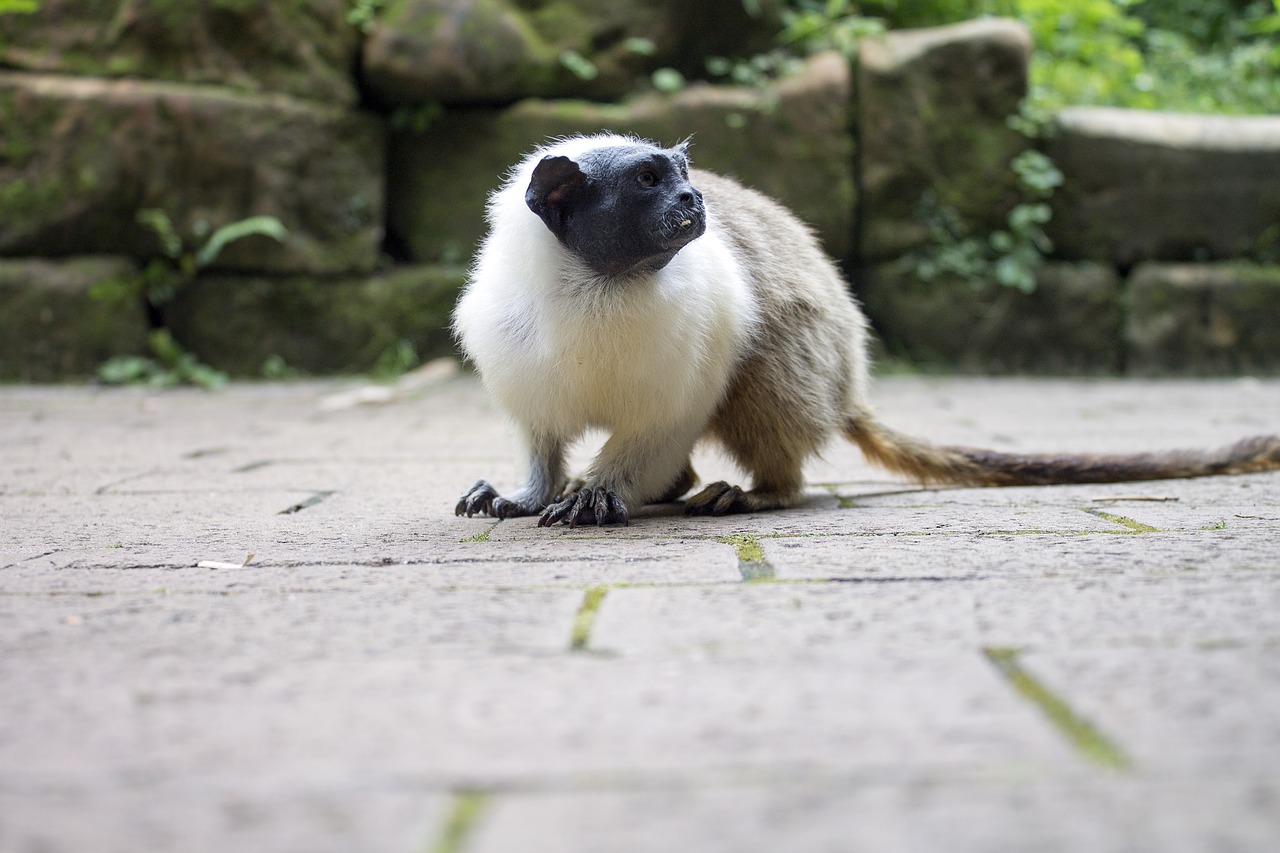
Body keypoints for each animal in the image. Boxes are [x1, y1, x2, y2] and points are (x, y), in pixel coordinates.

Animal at [455, 134, 1274, 525]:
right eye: (649, 182)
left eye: (681, 176)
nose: (694, 199)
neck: (599, 289)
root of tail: (848, 382)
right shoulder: (516, 339)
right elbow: (540, 435)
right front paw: (530, 493)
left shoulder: (686, 349)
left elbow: (663, 423)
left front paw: (600, 493)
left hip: (807, 360)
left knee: (762, 379)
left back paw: (761, 492)